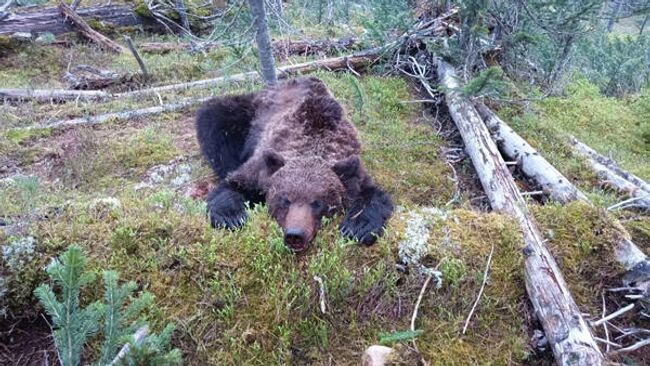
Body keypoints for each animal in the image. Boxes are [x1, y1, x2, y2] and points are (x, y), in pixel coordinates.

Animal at [195, 77, 392, 252]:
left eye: (317, 203)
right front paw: (232, 217)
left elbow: (374, 195)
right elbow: (234, 184)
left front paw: (357, 228)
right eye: (285, 199)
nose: (295, 235)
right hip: (248, 113)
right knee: (216, 118)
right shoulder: (262, 167)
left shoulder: (352, 169)